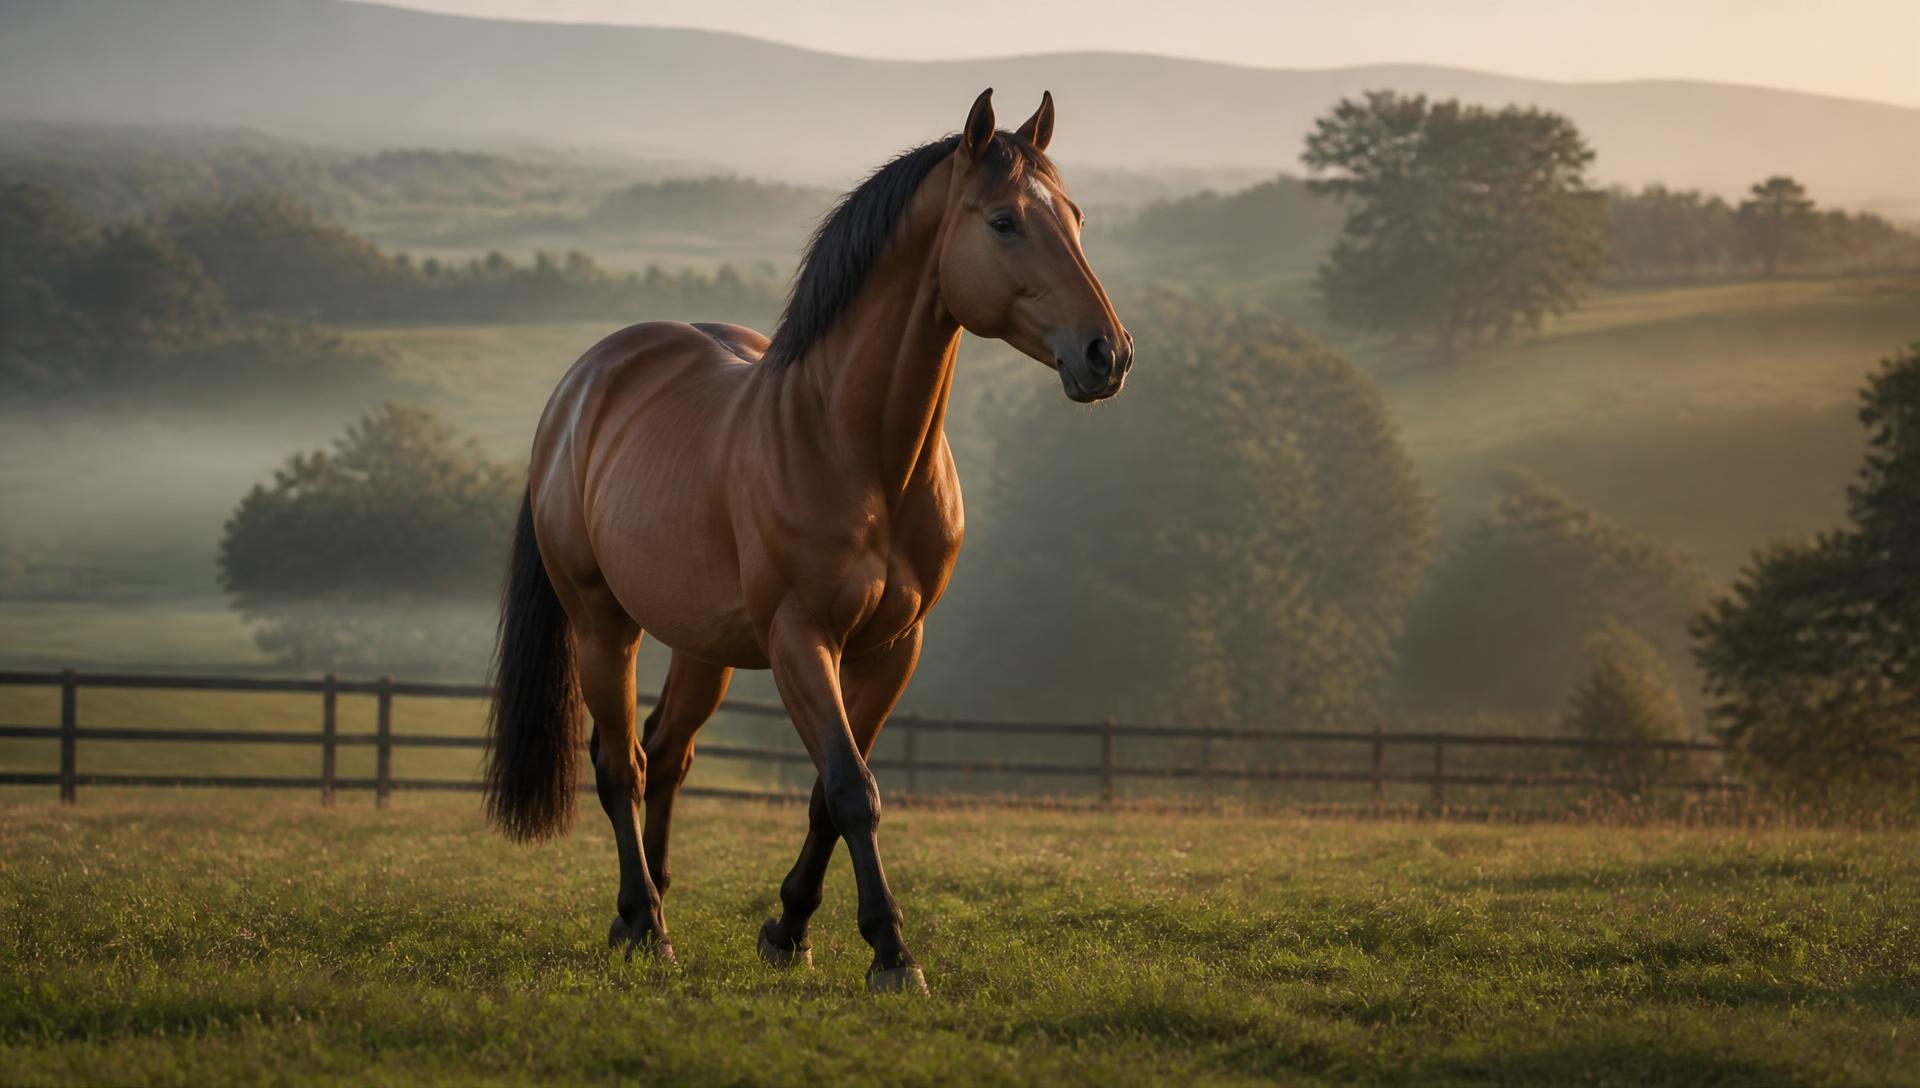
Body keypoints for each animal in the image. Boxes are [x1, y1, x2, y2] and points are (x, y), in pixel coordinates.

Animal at [483, 88, 1132, 994]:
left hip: (704, 647)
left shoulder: (891, 648)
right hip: (601, 626)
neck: (858, 450)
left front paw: (788, 929)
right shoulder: (802, 639)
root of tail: (581, 388)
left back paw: (642, 911)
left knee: (668, 754)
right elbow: (853, 787)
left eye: (1073, 216)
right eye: (1004, 222)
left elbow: (832, 790)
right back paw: (648, 927)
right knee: (622, 766)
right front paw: (892, 952)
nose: (1108, 354)